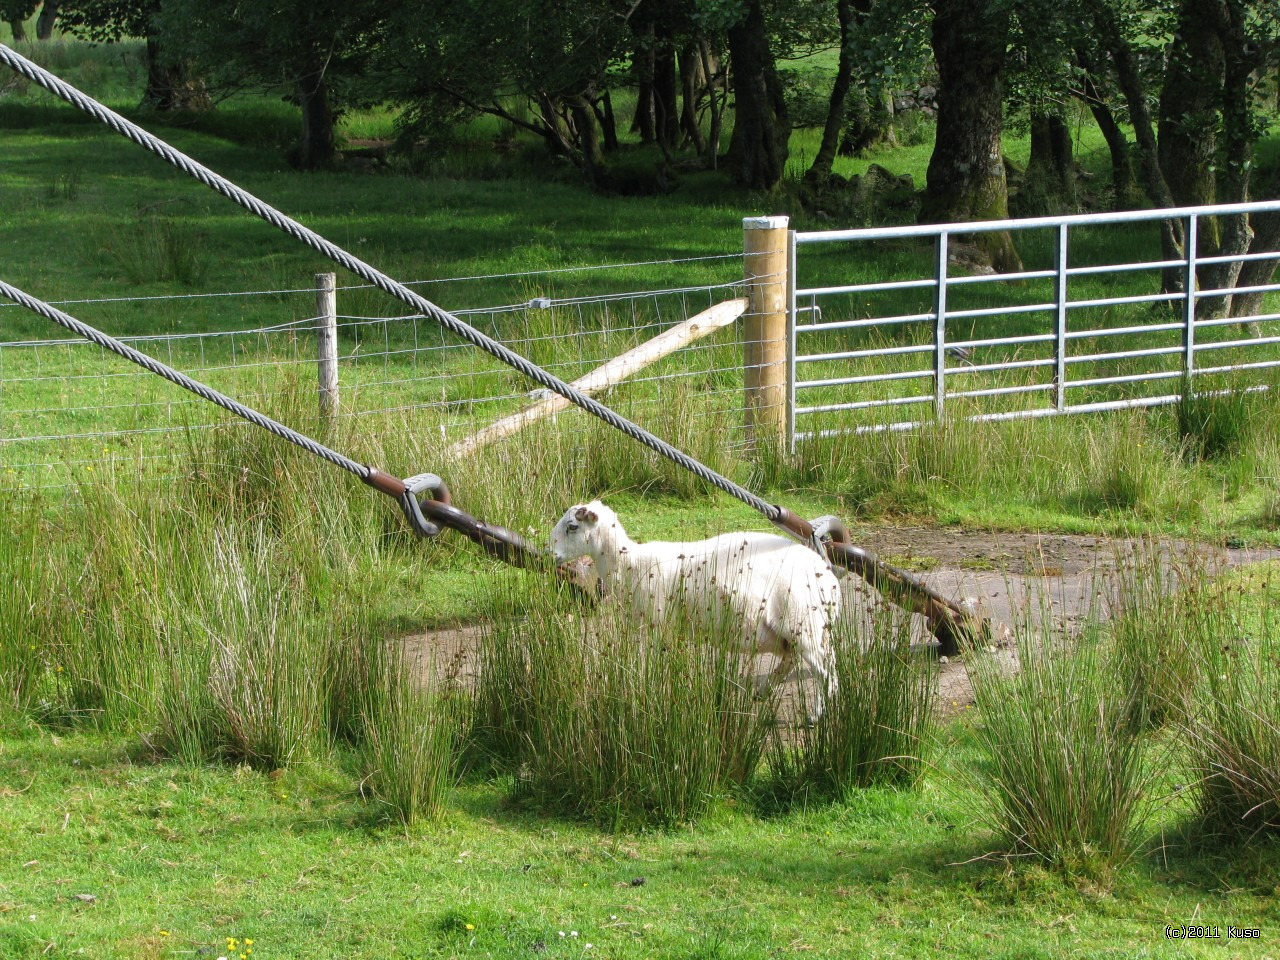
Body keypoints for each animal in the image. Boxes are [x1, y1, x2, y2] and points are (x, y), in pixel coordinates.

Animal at [547, 504, 839, 721]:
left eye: (572, 526)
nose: (550, 555)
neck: (630, 563)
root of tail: (828, 577)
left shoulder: (657, 622)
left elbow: (653, 664)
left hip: (804, 624)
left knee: (827, 673)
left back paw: (816, 715)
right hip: (792, 632)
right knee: (793, 660)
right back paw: (762, 691)